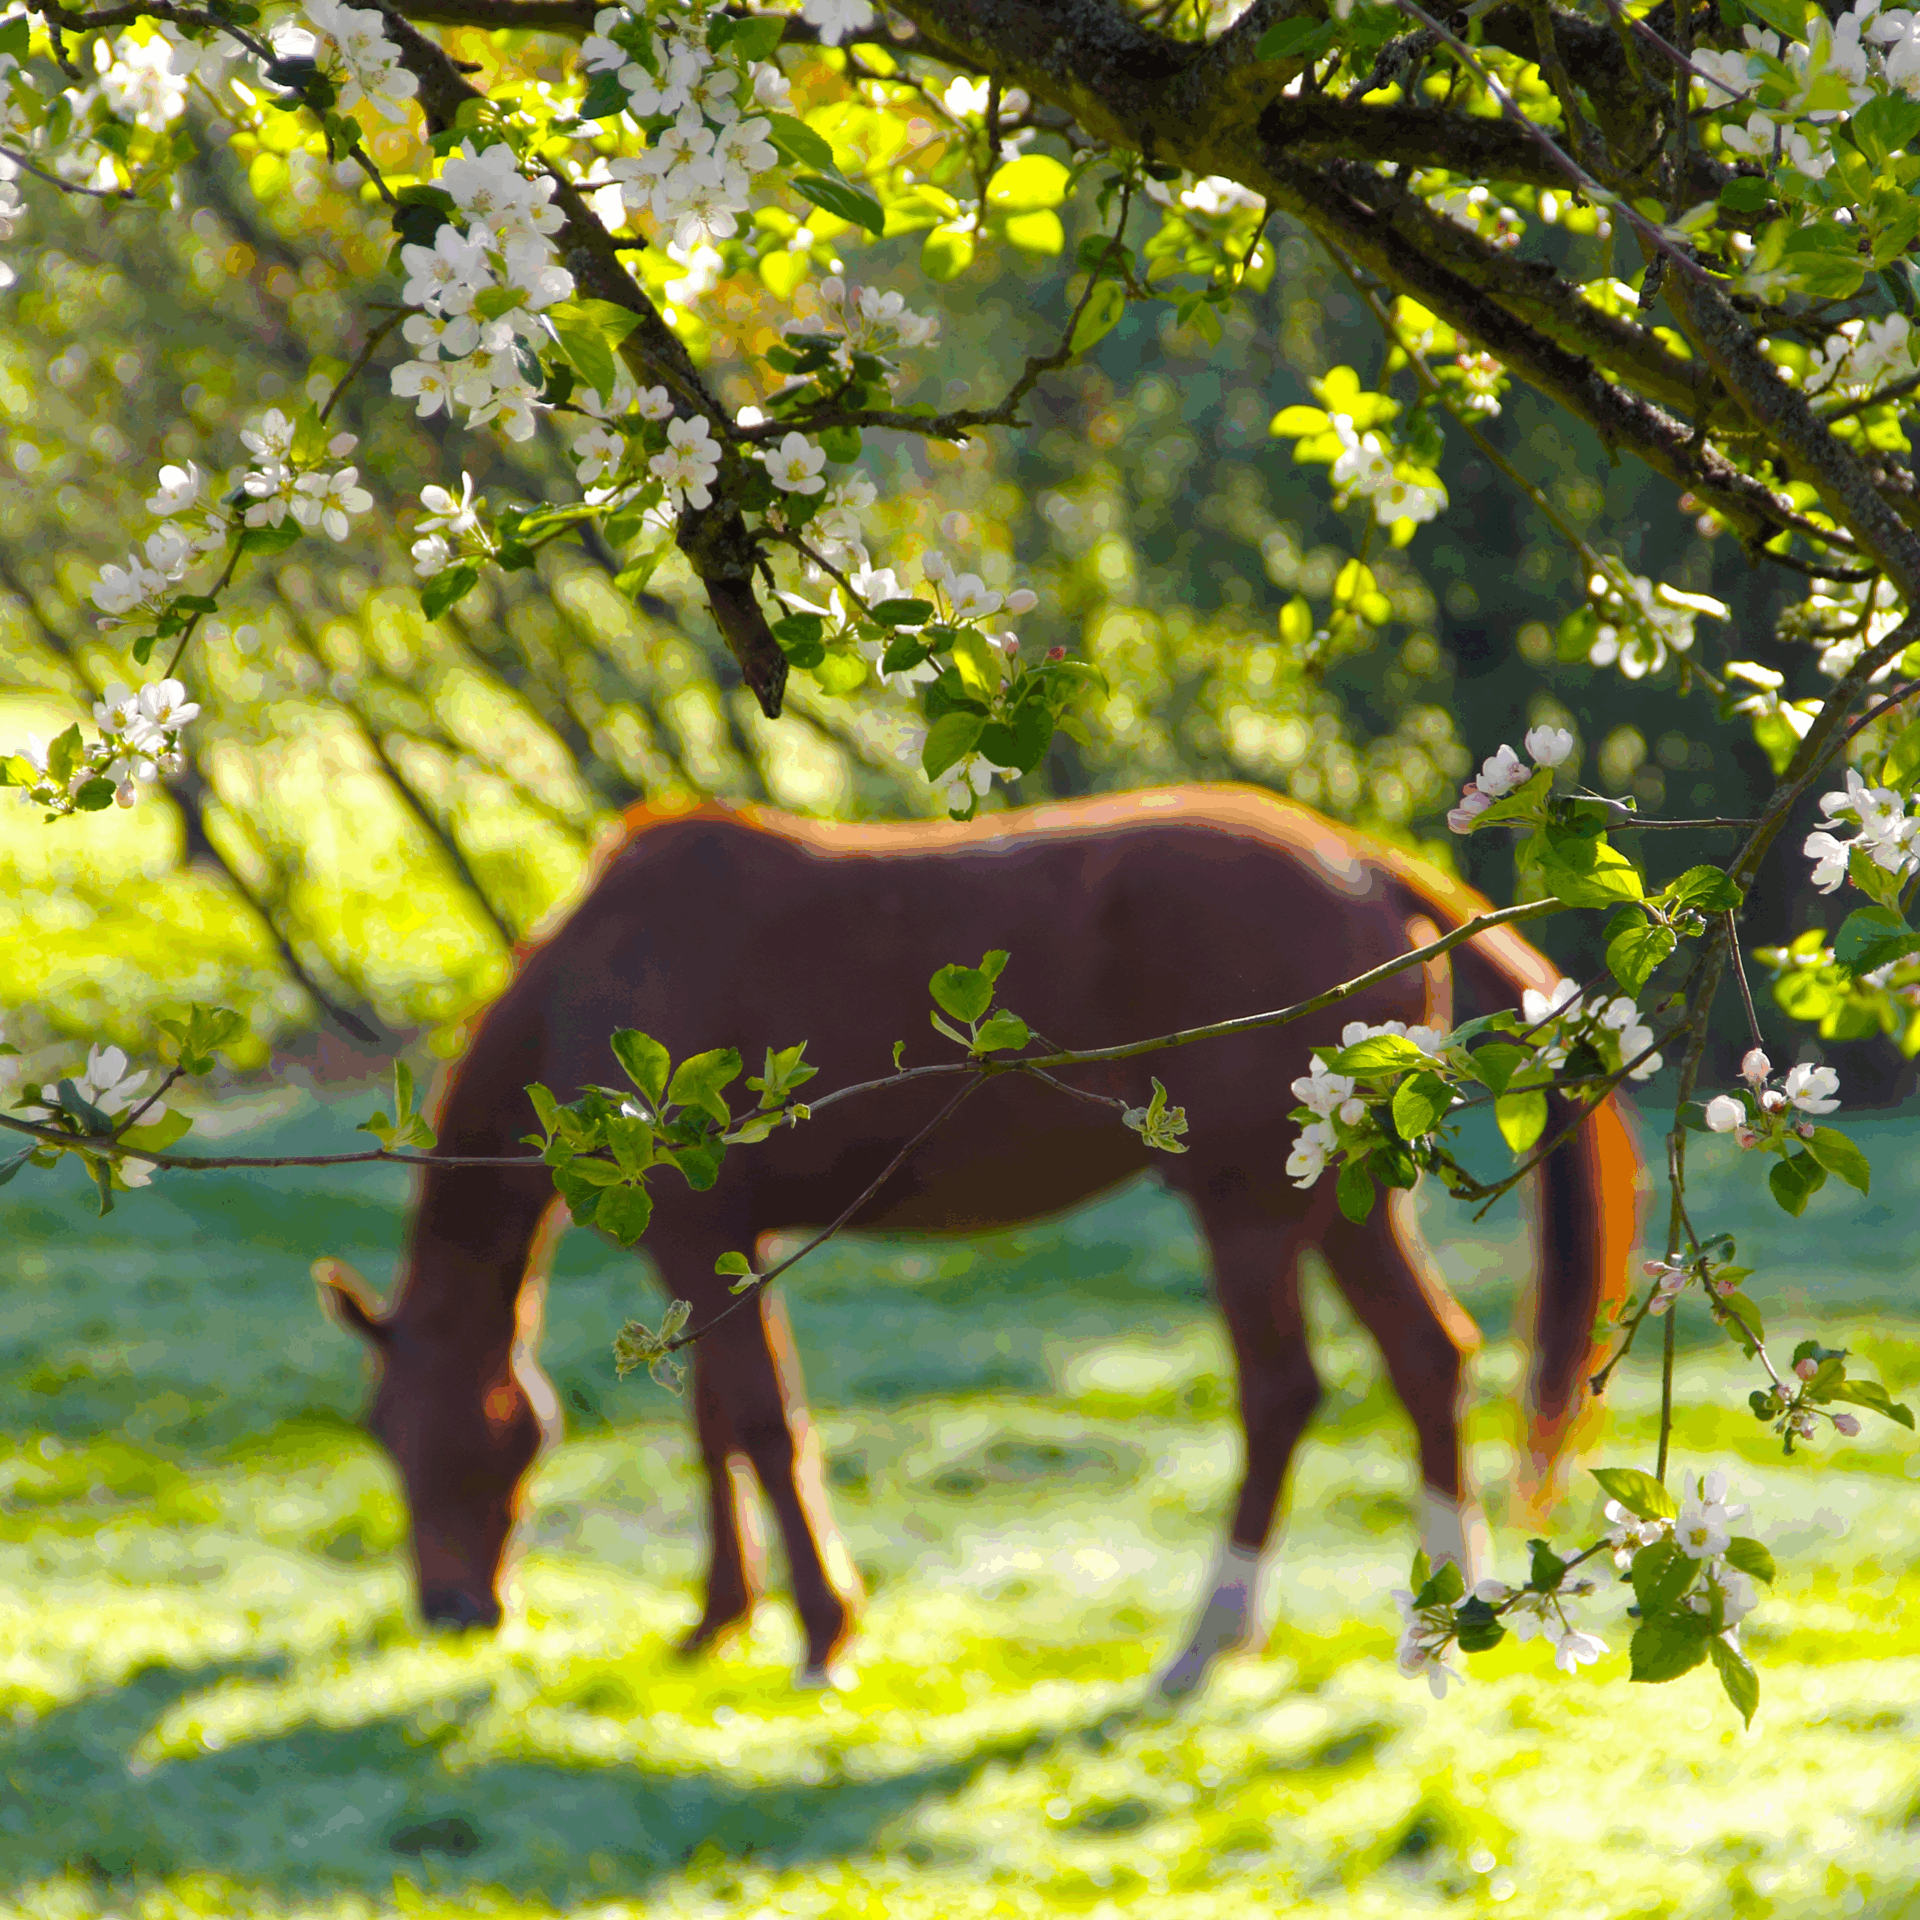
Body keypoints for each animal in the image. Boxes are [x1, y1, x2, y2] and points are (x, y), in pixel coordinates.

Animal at [316, 784, 1642, 1690]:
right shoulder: (710, 1252)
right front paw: (715, 1618)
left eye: (418, 1431)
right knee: (1430, 1358)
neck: (604, 971)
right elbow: (717, 1427)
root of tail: (1369, 867)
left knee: (1283, 1393)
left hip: (1250, 1210)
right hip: (1344, 1203)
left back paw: (1208, 1636)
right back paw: (1443, 1604)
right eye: (377, 1432)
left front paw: (819, 1630)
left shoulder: (701, 1232)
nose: (451, 1612)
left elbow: (758, 1424)